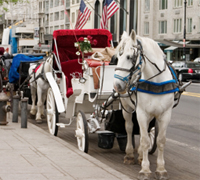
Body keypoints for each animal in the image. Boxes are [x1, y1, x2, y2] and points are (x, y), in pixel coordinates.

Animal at [113, 29, 180, 180]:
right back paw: (130, 154)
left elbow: (160, 140)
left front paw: (161, 169)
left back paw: (139, 156)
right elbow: (144, 140)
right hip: (126, 108)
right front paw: (145, 170)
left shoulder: (165, 114)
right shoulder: (141, 113)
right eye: (117, 57)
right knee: (129, 128)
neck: (156, 82)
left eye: (129, 57)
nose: (117, 85)